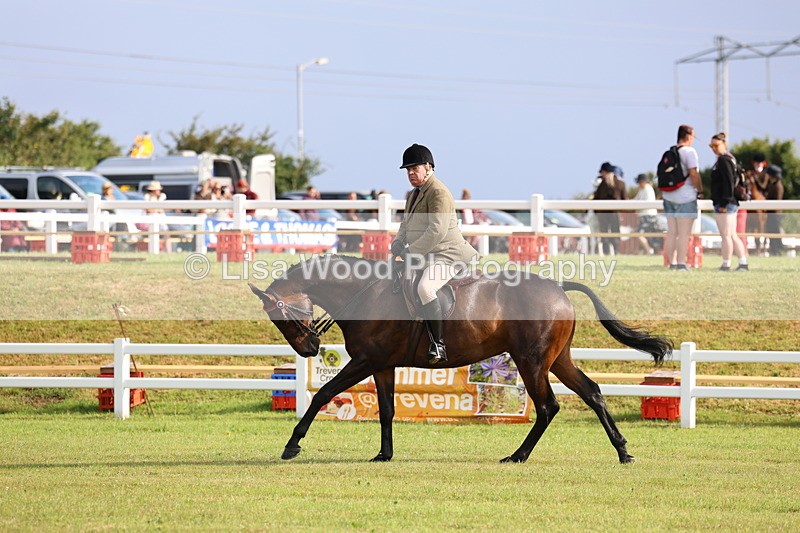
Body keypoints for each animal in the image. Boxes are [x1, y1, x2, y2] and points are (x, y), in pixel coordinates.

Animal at [249, 255, 673, 464]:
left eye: (281, 316)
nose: (309, 349)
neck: (365, 292)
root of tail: (557, 286)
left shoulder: (366, 362)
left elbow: (322, 395)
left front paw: (292, 445)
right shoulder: (382, 365)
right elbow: (386, 410)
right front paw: (384, 455)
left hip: (531, 361)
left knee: (547, 406)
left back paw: (518, 456)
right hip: (557, 360)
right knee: (592, 392)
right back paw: (623, 451)